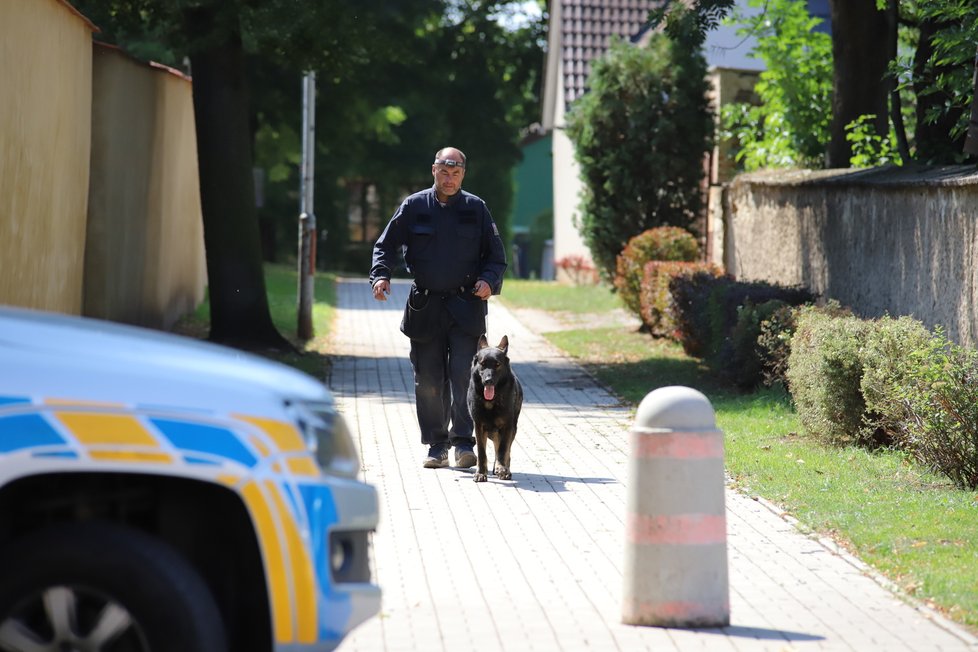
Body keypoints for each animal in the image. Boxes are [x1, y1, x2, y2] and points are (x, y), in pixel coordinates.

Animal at [468, 334, 524, 482]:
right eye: (482, 364)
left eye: (497, 364)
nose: (488, 381)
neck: (491, 401)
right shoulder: (479, 426)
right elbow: (481, 452)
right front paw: (481, 473)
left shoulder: (507, 426)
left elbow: (503, 449)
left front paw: (501, 468)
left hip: (512, 429)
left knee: (506, 450)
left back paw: (505, 470)